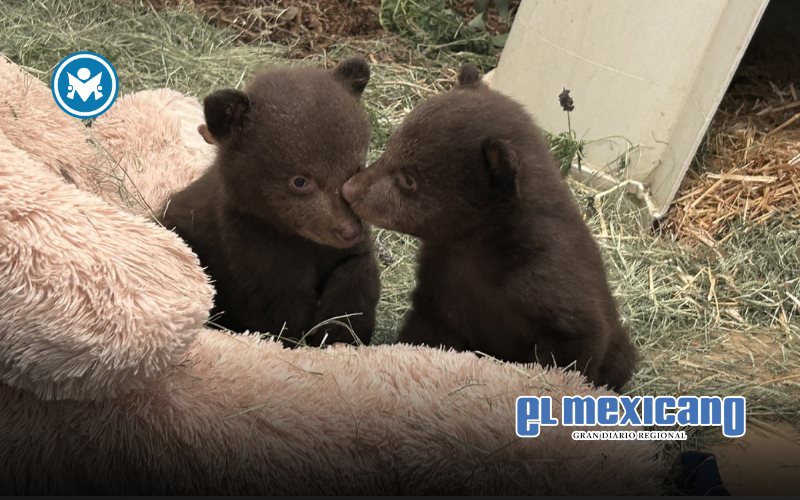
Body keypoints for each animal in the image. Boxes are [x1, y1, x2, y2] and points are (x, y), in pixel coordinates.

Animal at [160, 58, 380, 347]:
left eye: (355, 168)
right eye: (300, 181)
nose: (349, 230)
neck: (299, 239)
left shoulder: (344, 250)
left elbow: (357, 272)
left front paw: (339, 330)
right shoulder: (253, 247)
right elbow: (279, 311)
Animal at [341, 64, 638, 390]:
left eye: (408, 179)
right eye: (391, 147)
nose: (349, 190)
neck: (476, 243)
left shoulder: (550, 280)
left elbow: (574, 344)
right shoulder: (440, 286)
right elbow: (426, 330)